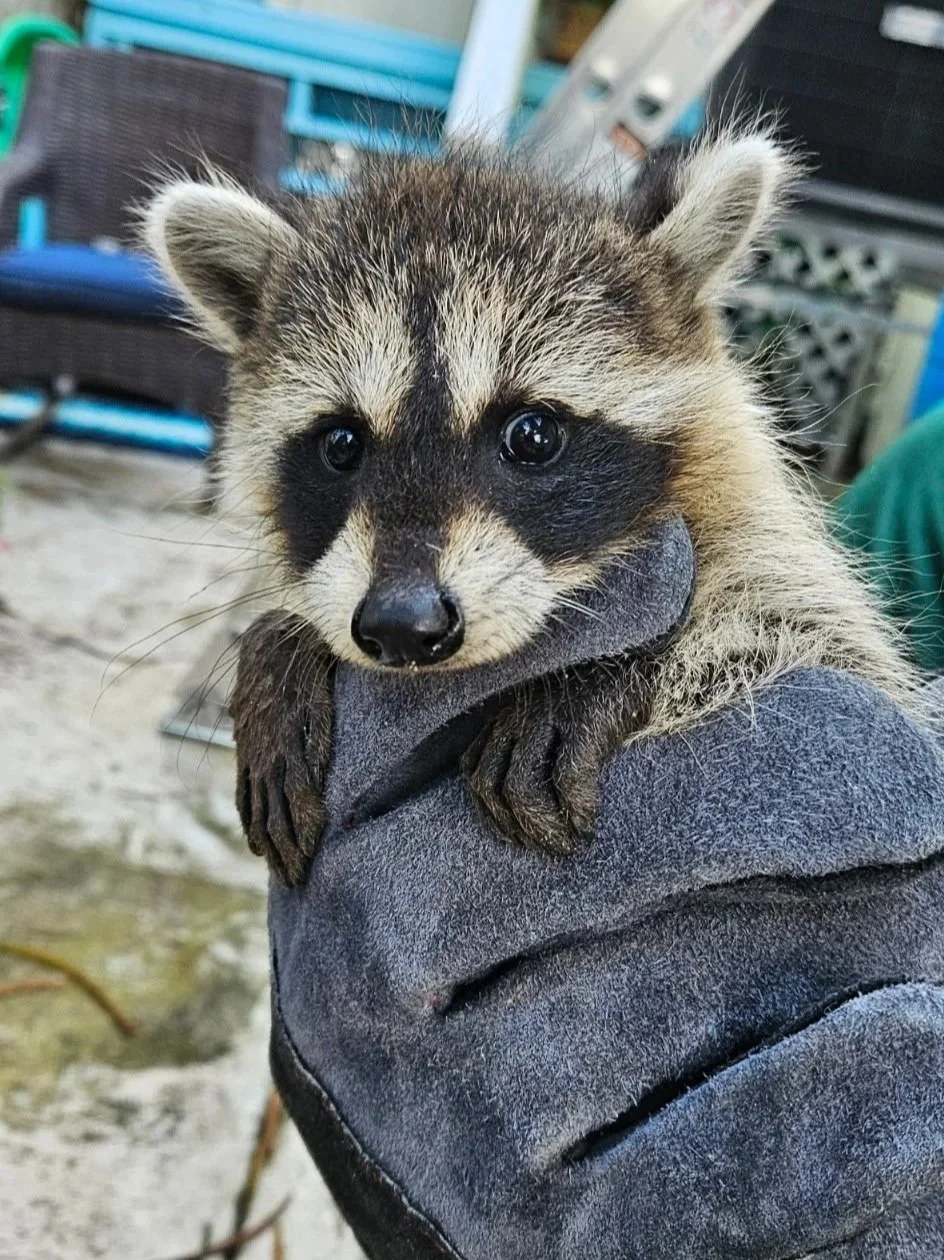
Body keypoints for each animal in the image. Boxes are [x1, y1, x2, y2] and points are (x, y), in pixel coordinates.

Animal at [144, 132, 916, 885]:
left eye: (533, 435)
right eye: (341, 443)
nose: (400, 623)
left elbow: (802, 627)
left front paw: (611, 669)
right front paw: (282, 642)